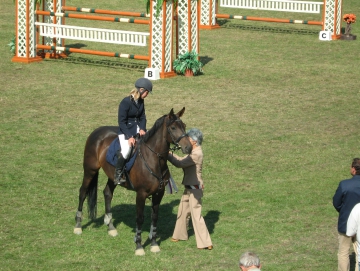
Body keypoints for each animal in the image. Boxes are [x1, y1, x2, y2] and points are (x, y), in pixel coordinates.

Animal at [72, 107, 191, 256]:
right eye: (173, 127)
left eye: (184, 126)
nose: (188, 148)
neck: (154, 159)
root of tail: (97, 131)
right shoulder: (141, 194)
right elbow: (140, 219)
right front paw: (139, 246)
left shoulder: (159, 193)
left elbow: (154, 217)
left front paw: (154, 244)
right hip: (90, 170)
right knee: (83, 192)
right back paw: (78, 226)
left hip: (113, 177)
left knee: (107, 193)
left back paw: (111, 227)